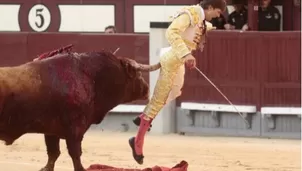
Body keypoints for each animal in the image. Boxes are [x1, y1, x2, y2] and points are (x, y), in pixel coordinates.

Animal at [0, 45, 160, 171]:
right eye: (137, 74)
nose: (147, 90)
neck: (91, 77)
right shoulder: (75, 130)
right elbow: (75, 155)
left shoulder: (51, 131)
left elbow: (53, 155)